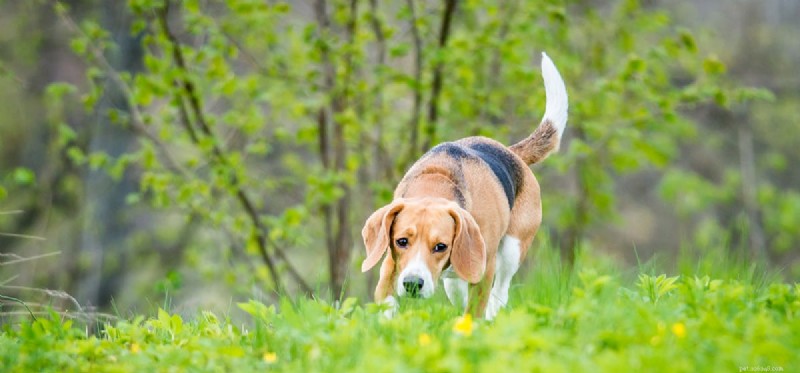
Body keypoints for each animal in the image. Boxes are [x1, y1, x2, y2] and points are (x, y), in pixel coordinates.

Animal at [360, 53, 564, 320]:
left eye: (440, 246)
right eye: (401, 241)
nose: (413, 284)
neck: (435, 184)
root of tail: (511, 152)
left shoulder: (484, 267)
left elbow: (475, 309)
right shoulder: (390, 262)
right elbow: (387, 302)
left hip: (513, 248)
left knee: (499, 293)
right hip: (454, 280)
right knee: (460, 289)